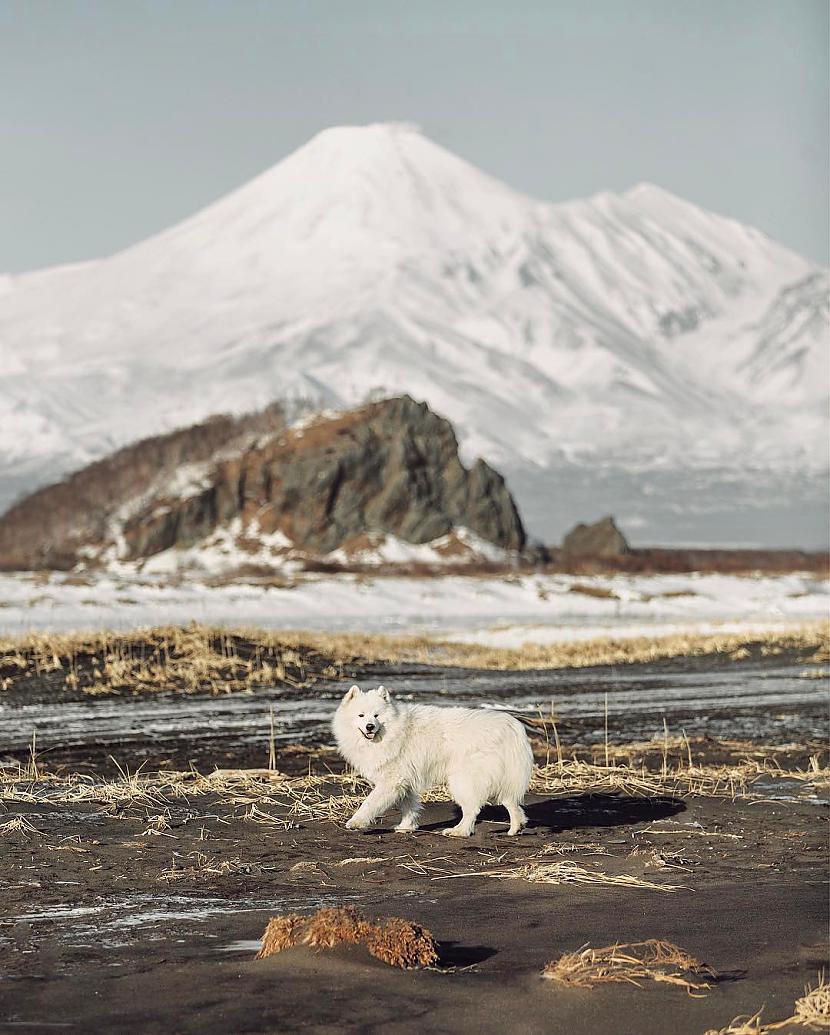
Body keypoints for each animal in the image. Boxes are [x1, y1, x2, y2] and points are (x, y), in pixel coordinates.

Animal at [329, 683, 529, 836]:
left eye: (376, 716)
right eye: (361, 715)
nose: (370, 726)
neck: (391, 731)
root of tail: (509, 725)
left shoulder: (391, 781)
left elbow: (369, 803)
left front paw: (356, 822)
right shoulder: (405, 781)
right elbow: (408, 806)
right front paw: (406, 827)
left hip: (462, 780)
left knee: (472, 809)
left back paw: (459, 831)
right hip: (501, 778)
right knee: (511, 802)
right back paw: (516, 828)